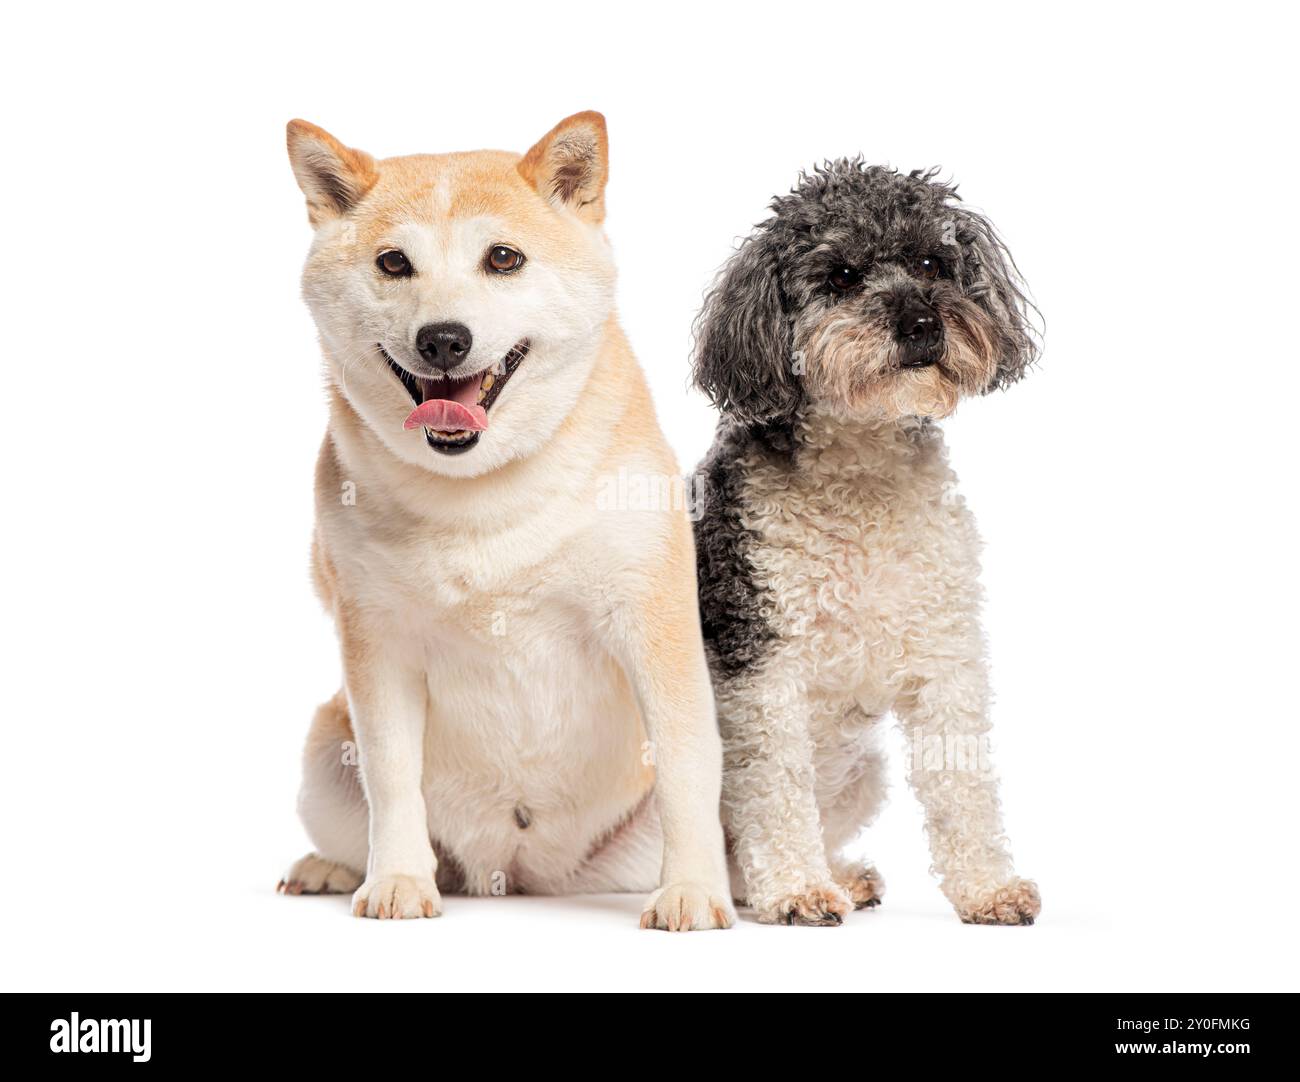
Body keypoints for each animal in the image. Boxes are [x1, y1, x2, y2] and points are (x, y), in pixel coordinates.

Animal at [275, 111, 738, 931]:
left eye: (502, 258)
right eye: (394, 263)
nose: (443, 338)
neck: (484, 491)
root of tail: (520, 874)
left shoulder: (653, 623)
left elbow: (686, 762)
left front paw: (691, 890)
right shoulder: (377, 645)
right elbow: (391, 775)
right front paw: (398, 880)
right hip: (327, 753)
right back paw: (330, 868)